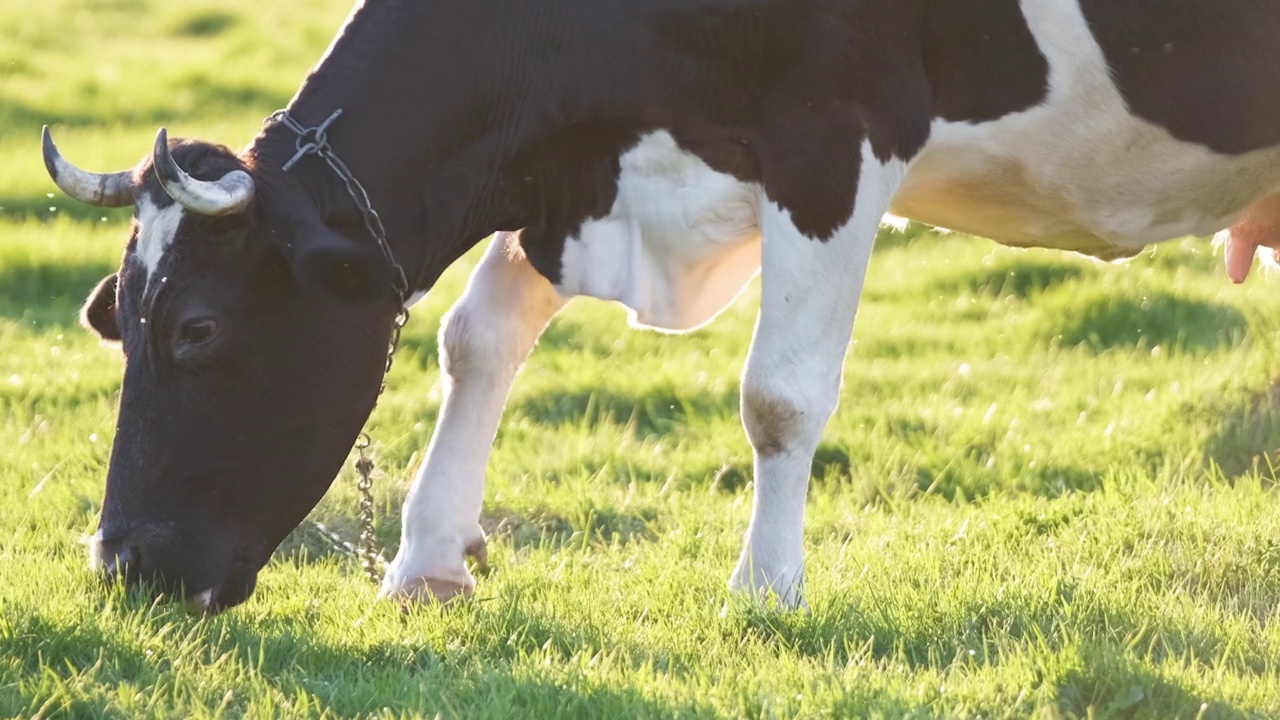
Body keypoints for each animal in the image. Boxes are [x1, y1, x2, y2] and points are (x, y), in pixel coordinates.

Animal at [37, 0, 1280, 609]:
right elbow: (476, 337)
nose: (121, 565)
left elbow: (778, 395)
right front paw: (426, 558)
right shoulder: (578, 164)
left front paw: (765, 590)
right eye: (117, 321)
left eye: (197, 329)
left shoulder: (836, 133)